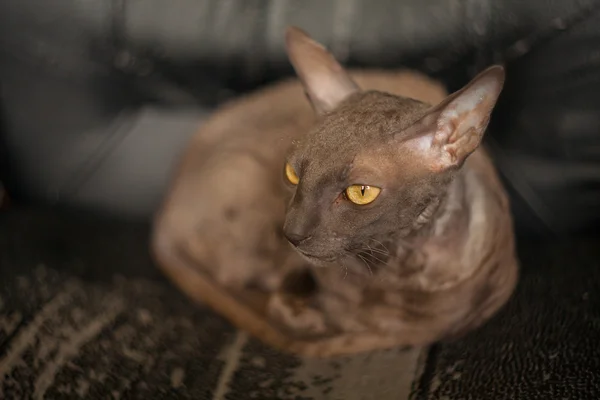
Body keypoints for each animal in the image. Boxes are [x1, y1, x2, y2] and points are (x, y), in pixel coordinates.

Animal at [152, 27, 516, 356]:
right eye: (292, 174)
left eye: (361, 192)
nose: (292, 234)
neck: (391, 271)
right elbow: (288, 313)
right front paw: (310, 313)